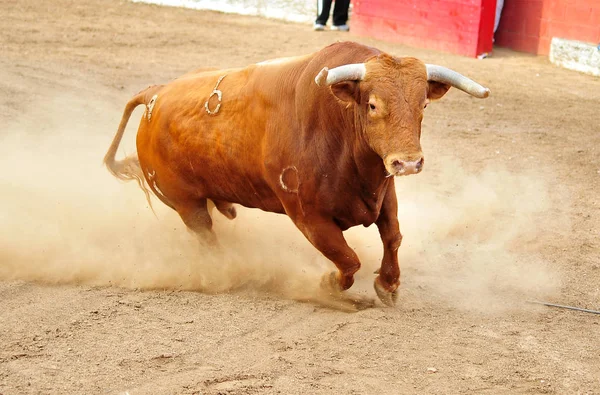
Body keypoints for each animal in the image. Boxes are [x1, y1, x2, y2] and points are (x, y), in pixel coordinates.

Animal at [104, 41, 488, 308]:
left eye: (423, 104)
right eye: (373, 104)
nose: (408, 163)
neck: (337, 127)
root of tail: (156, 93)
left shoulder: (384, 191)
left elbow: (393, 237)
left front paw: (388, 285)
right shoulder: (307, 216)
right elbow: (348, 258)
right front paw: (327, 286)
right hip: (186, 204)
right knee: (206, 236)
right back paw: (224, 270)